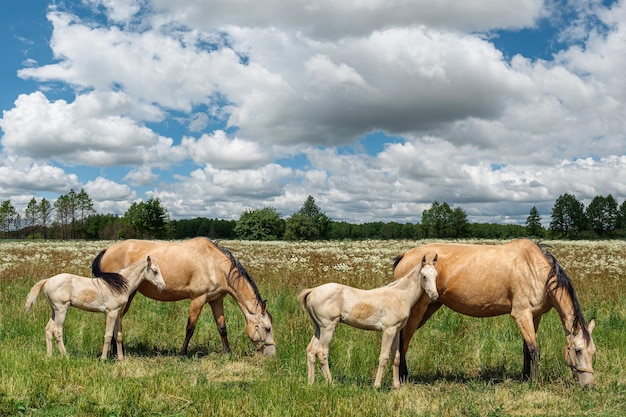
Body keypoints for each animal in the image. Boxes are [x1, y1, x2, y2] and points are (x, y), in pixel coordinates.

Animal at [24, 252, 163, 360]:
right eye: (155, 271)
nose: (163, 286)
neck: (119, 285)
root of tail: (47, 281)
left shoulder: (118, 313)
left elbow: (118, 335)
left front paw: (121, 359)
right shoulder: (111, 312)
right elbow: (108, 335)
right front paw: (103, 359)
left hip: (54, 311)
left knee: (48, 329)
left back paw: (49, 356)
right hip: (61, 310)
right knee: (57, 331)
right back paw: (66, 356)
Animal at [92, 237, 276, 354]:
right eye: (267, 328)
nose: (272, 353)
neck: (214, 264)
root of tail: (107, 250)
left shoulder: (216, 300)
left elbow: (222, 328)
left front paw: (227, 352)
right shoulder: (198, 300)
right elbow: (190, 328)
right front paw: (182, 352)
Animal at [298, 255, 436, 388]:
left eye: (436, 275)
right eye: (424, 276)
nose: (435, 296)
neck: (399, 296)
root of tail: (312, 291)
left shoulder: (396, 331)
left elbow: (396, 357)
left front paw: (396, 386)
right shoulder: (388, 330)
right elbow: (384, 357)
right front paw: (377, 386)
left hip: (318, 327)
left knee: (311, 351)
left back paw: (311, 382)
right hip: (328, 327)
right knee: (322, 352)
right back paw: (330, 383)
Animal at [394, 239, 596, 388]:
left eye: (593, 352)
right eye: (577, 350)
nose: (588, 385)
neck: (535, 269)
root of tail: (404, 256)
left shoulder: (535, 316)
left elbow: (526, 349)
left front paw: (525, 378)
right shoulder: (521, 314)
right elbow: (534, 350)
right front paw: (534, 382)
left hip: (429, 308)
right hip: (418, 311)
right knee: (404, 341)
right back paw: (403, 377)